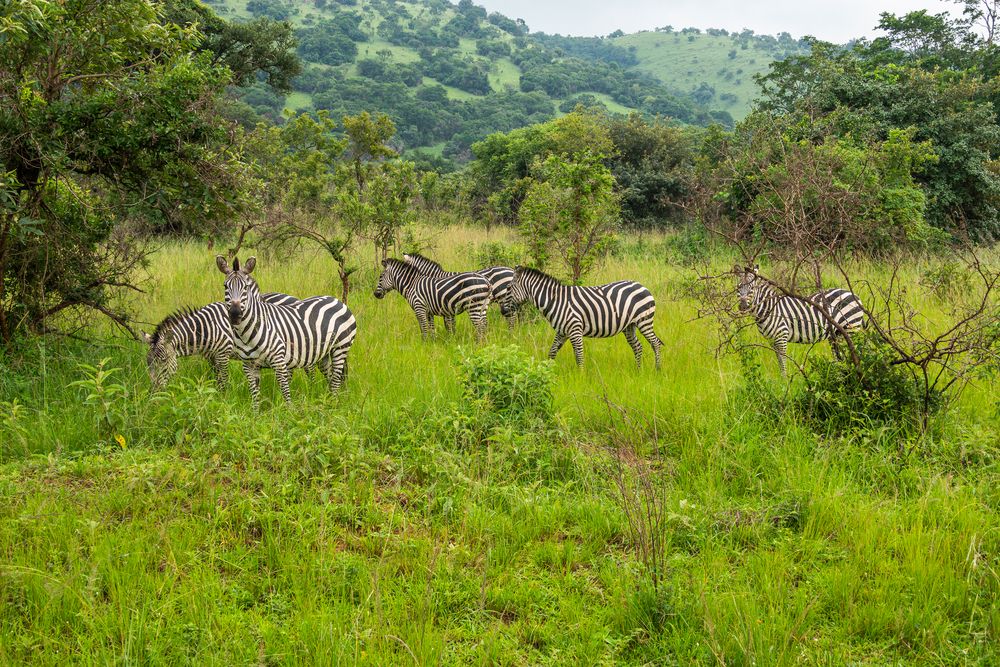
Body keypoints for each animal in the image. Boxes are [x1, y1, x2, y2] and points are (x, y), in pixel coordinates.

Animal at [142, 290, 308, 392]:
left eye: (163, 360)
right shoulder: (211, 357)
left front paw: (224, 397)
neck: (205, 328)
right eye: (148, 363)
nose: (154, 392)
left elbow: (224, 379)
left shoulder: (223, 354)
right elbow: (217, 378)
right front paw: (215, 394)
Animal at [217, 258, 358, 408]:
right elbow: (255, 396)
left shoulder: (279, 361)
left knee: (336, 380)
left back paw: (333, 406)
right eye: (225, 286)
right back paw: (329, 403)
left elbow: (285, 392)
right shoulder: (249, 365)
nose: (235, 314)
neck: (247, 334)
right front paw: (256, 413)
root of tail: (337, 300)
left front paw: (289, 412)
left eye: (245, 287)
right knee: (330, 378)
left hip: (341, 347)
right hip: (323, 353)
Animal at [504, 268, 660, 370]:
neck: (555, 300)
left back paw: (657, 369)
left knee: (655, 343)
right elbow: (552, 351)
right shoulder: (562, 331)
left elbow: (579, 355)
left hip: (644, 321)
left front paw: (581, 376)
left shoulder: (575, 330)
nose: (504, 311)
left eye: (508, 288)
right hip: (629, 326)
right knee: (638, 346)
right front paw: (547, 371)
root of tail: (642, 286)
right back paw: (638, 370)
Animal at [736, 264, 868, 378]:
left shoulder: (782, 336)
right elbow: (779, 361)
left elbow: (783, 361)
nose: (742, 306)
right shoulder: (772, 340)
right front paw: (781, 380)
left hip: (850, 328)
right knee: (838, 356)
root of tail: (854, 295)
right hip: (836, 334)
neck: (769, 308)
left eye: (751, 288)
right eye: (738, 288)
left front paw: (784, 380)